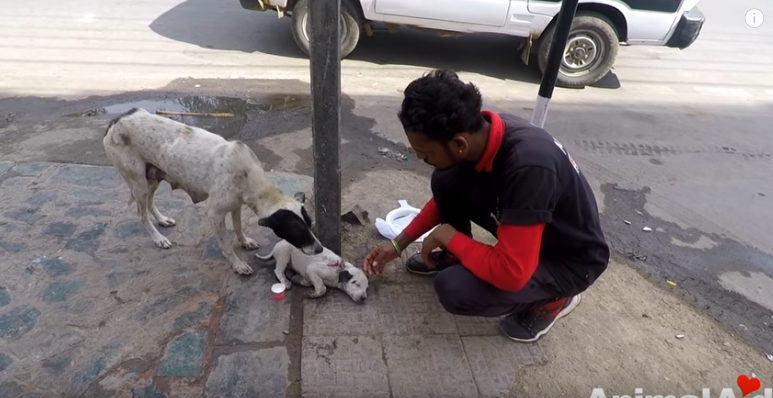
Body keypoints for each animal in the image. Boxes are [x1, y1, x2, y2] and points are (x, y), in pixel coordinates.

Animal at [102, 107, 322, 276]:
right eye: (296, 230)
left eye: (310, 224)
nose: (320, 248)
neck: (248, 173)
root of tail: (116, 120)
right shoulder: (215, 213)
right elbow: (226, 245)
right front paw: (238, 265)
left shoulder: (236, 204)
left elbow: (239, 227)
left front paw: (244, 241)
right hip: (138, 182)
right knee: (141, 214)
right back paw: (158, 238)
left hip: (153, 177)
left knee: (149, 203)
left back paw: (162, 220)